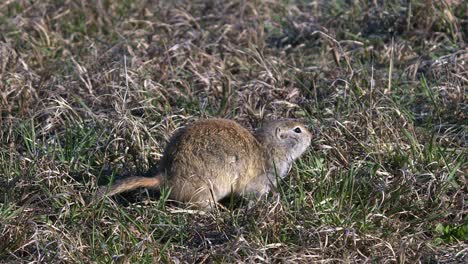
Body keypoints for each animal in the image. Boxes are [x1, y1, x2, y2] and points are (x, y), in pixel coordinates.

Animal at [97, 118, 312, 209]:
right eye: (297, 130)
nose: (312, 135)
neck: (270, 146)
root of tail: (166, 177)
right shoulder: (260, 179)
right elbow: (252, 194)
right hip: (208, 191)